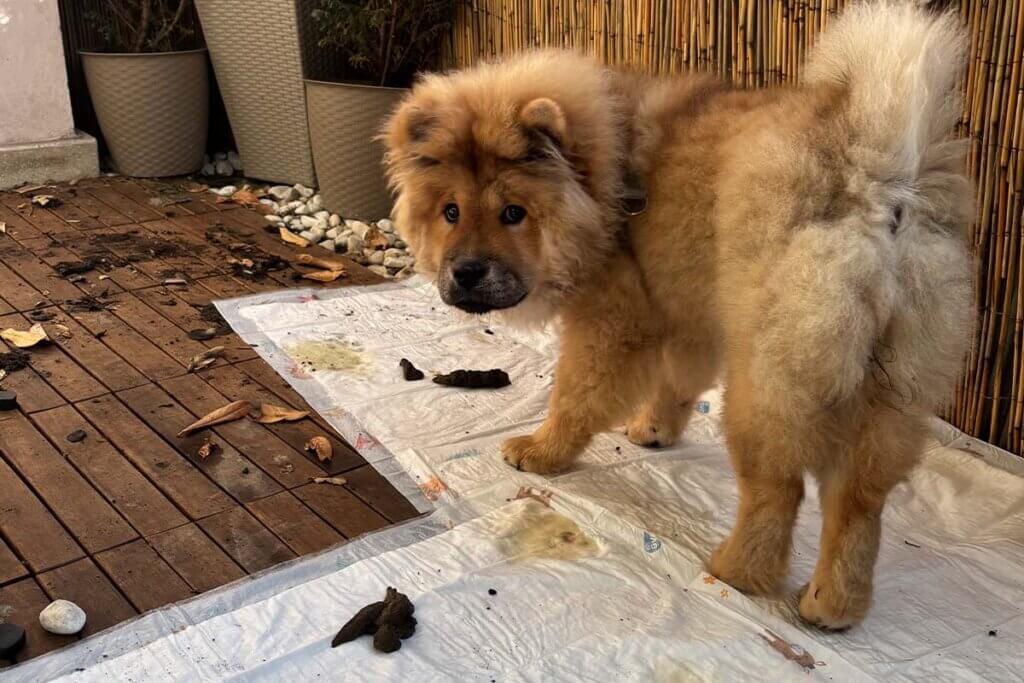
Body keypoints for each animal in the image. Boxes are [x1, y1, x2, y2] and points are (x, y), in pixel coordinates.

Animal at [382, 1, 974, 630]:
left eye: (513, 213)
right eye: (450, 212)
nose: (466, 271)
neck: (605, 185)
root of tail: (876, 172)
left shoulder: (614, 322)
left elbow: (575, 396)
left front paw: (542, 451)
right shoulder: (686, 312)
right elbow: (676, 384)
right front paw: (653, 431)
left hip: (769, 376)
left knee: (778, 489)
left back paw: (737, 570)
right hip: (891, 386)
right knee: (859, 503)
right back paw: (832, 605)